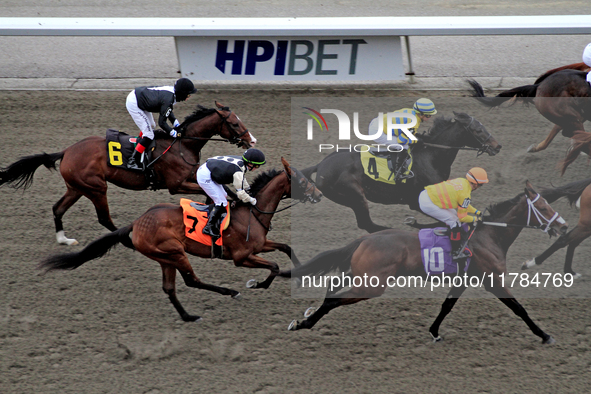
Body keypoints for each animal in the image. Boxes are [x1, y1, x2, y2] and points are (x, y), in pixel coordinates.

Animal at [0, 100, 254, 245]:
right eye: (234, 123)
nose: (251, 140)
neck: (183, 145)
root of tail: (66, 151)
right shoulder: (176, 185)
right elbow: (216, 193)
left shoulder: (192, 176)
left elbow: (223, 190)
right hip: (96, 187)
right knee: (104, 218)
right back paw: (126, 239)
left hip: (76, 187)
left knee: (57, 208)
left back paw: (64, 240)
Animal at [37, 159, 324, 322]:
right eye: (300, 180)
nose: (320, 195)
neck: (252, 213)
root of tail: (137, 223)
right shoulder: (242, 257)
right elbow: (273, 266)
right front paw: (258, 284)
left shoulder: (259, 245)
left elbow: (287, 248)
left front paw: (301, 272)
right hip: (175, 252)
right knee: (191, 280)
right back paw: (230, 292)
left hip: (165, 258)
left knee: (170, 288)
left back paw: (188, 316)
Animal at [284, 182, 572, 344]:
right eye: (543, 208)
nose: (564, 226)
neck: (489, 235)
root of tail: (364, 239)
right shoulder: (493, 281)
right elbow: (519, 309)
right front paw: (544, 335)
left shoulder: (464, 280)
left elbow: (446, 306)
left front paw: (434, 331)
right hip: (371, 285)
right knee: (334, 298)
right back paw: (303, 323)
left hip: (360, 275)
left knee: (332, 287)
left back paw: (306, 318)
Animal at [302, 111, 502, 232]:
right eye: (478, 130)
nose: (497, 146)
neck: (431, 156)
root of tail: (320, 165)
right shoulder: (417, 200)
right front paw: (414, 224)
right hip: (355, 195)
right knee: (367, 224)